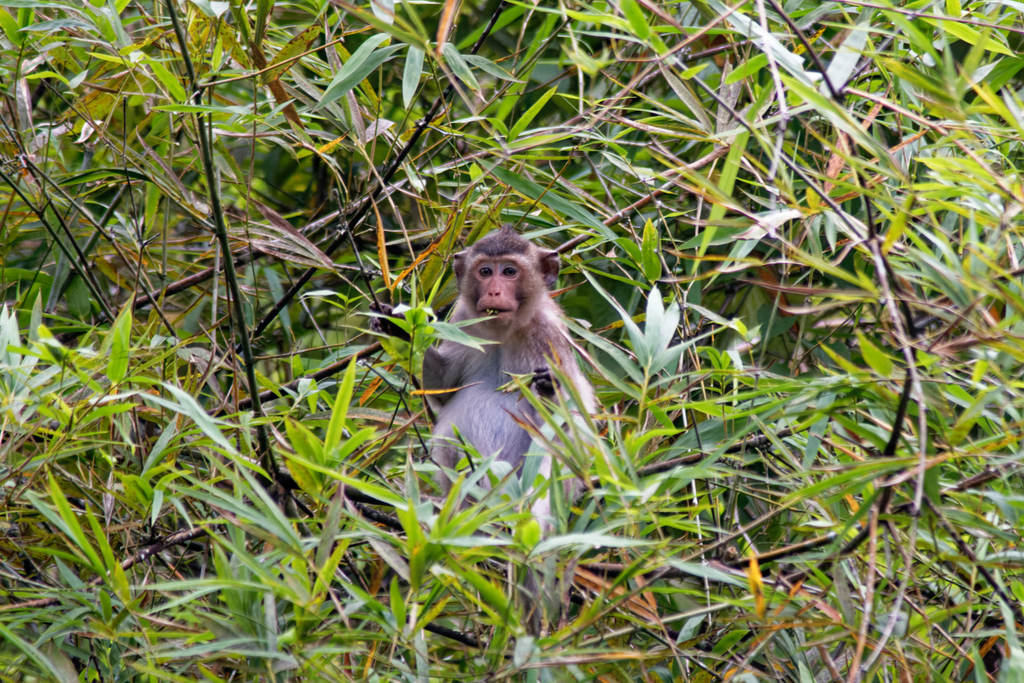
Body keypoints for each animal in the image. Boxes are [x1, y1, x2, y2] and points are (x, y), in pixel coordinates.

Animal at [421, 224, 597, 527]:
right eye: (485, 271)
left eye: (509, 271)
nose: (493, 292)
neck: (504, 330)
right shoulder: (463, 320)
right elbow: (443, 387)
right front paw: (399, 330)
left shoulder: (548, 337)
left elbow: (573, 423)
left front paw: (549, 389)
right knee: (450, 440)